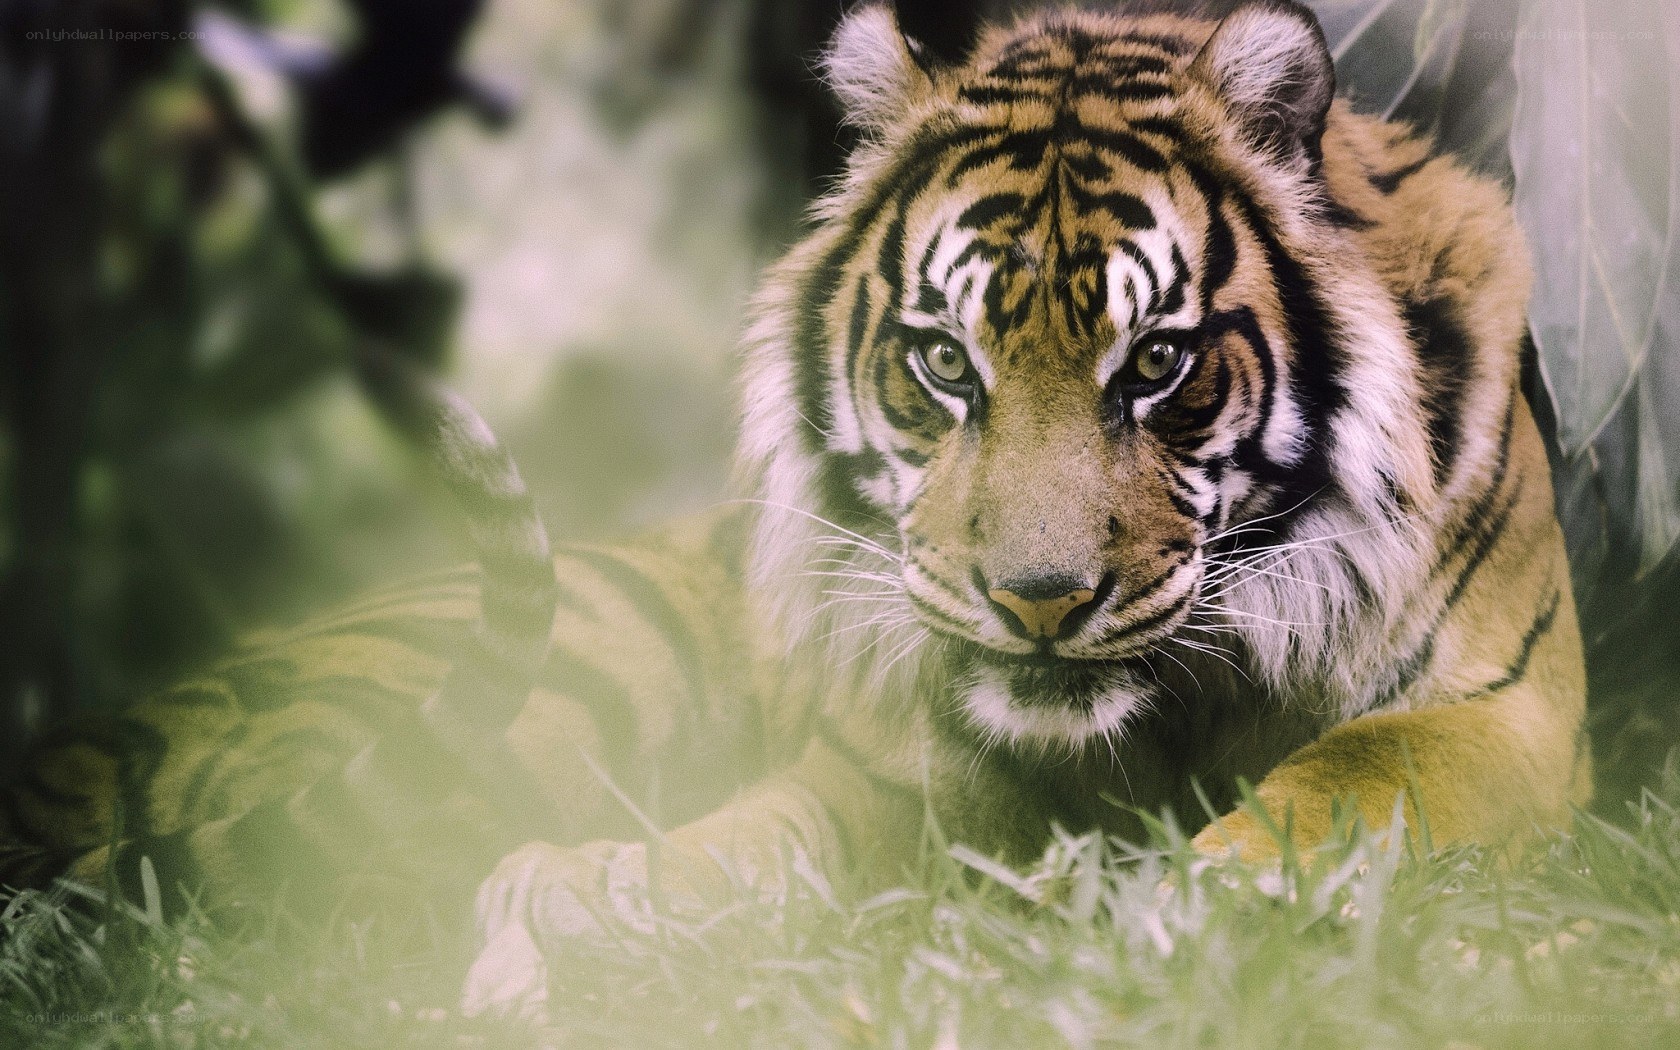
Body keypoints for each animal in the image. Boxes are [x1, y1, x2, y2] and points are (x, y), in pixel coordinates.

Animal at [2, 0, 1589, 1022]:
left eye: (1156, 365)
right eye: (944, 362)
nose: (1038, 602)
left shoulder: (1504, 711)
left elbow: (1351, 780)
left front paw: (1184, 914)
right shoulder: (897, 765)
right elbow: (750, 839)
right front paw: (576, 920)